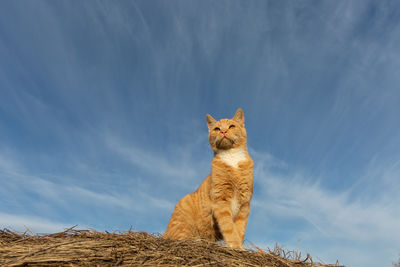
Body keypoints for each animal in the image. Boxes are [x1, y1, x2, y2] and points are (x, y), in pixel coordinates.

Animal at [163, 108, 253, 250]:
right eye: (217, 128)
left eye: (231, 126)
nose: (223, 131)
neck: (231, 158)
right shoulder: (220, 201)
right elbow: (229, 228)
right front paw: (235, 246)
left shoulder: (244, 205)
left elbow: (239, 230)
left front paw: (241, 248)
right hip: (184, 226)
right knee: (180, 238)